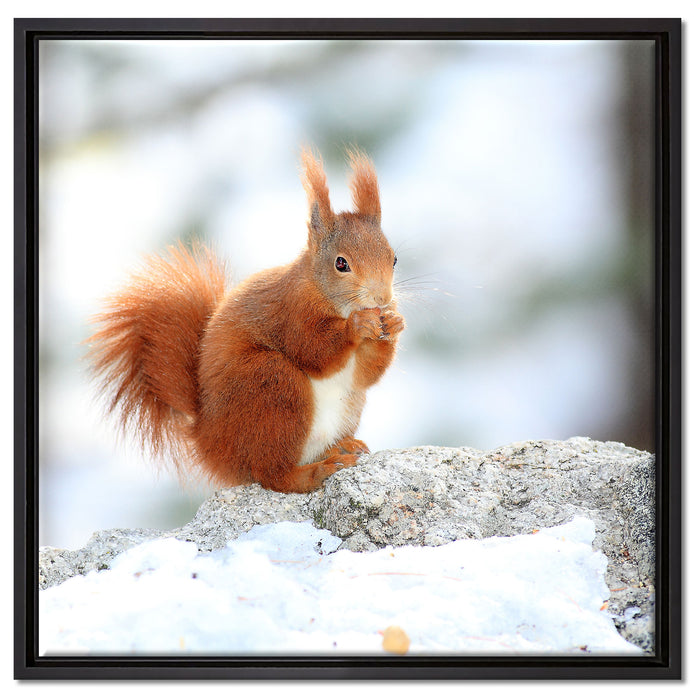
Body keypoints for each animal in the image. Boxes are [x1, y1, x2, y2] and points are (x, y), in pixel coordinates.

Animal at [86, 147, 405, 493]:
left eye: (394, 258)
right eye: (341, 263)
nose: (382, 298)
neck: (329, 297)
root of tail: (208, 442)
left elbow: (366, 374)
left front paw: (395, 323)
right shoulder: (290, 312)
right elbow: (314, 350)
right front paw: (357, 326)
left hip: (345, 405)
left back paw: (341, 447)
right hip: (271, 386)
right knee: (273, 474)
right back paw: (316, 471)